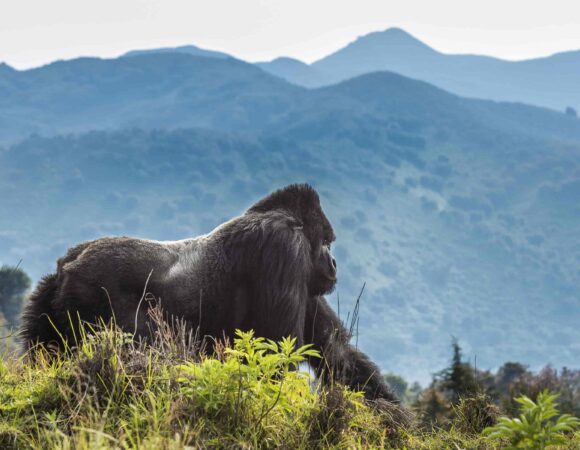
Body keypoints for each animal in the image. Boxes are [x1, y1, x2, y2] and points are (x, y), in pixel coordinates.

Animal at [20, 185, 402, 406]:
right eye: (326, 243)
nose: (334, 263)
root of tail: (66, 264)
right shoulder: (284, 248)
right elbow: (275, 351)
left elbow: (336, 352)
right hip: (89, 290)